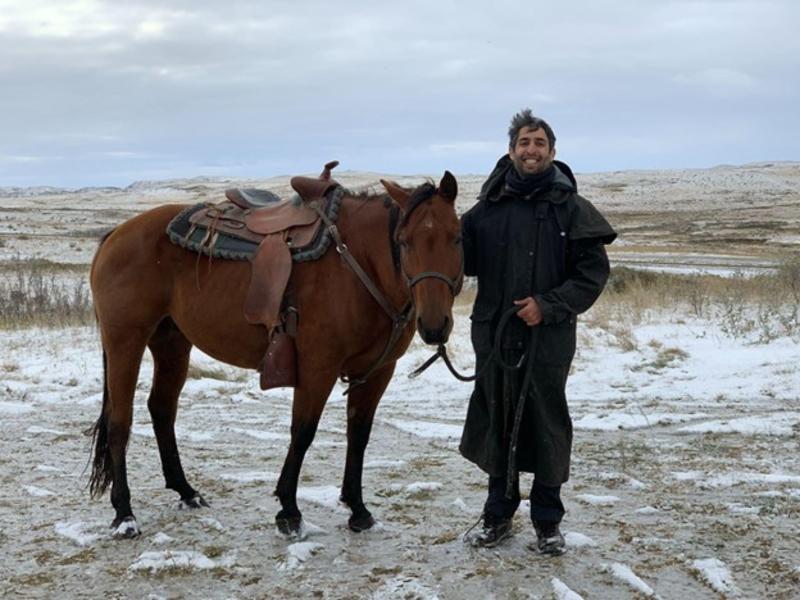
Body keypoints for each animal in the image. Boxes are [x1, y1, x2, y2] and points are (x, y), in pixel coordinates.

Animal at [86, 170, 462, 540]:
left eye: (456, 238)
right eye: (404, 241)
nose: (434, 326)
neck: (359, 265)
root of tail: (116, 234)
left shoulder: (377, 372)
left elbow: (359, 435)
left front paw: (358, 509)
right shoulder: (318, 367)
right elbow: (303, 432)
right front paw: (290, 511)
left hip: (172, 344)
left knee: (162, 410)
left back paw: (186, 491)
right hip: (125, 341)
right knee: (120, 421)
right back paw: (124, 514)